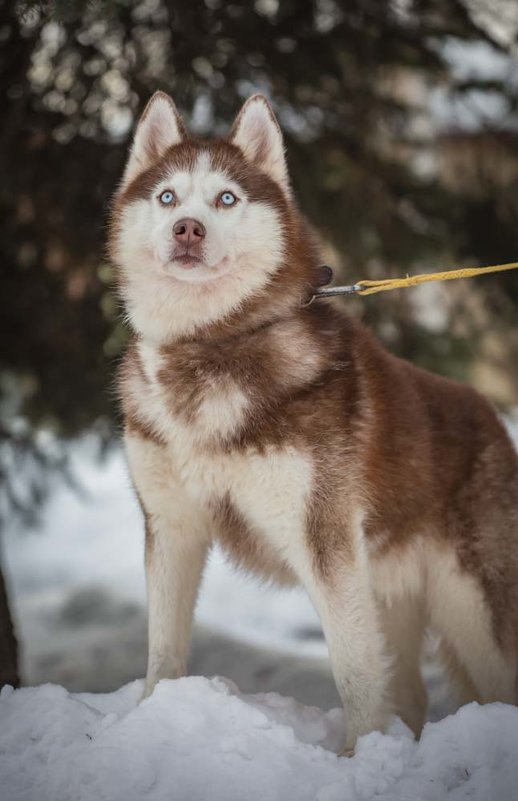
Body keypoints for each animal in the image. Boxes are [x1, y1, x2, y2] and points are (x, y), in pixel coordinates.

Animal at [112, 90, 518, 752]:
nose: (186, 229)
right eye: (167, 197)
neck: (210, 347)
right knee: (410, 691)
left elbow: (353, 675)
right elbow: (161, 653)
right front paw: (149, 718)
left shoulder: (324, 541)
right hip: (390, 591)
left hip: (472, 611)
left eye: (227, 198)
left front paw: (360, 758)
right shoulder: (171, 527)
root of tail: (490, 414)